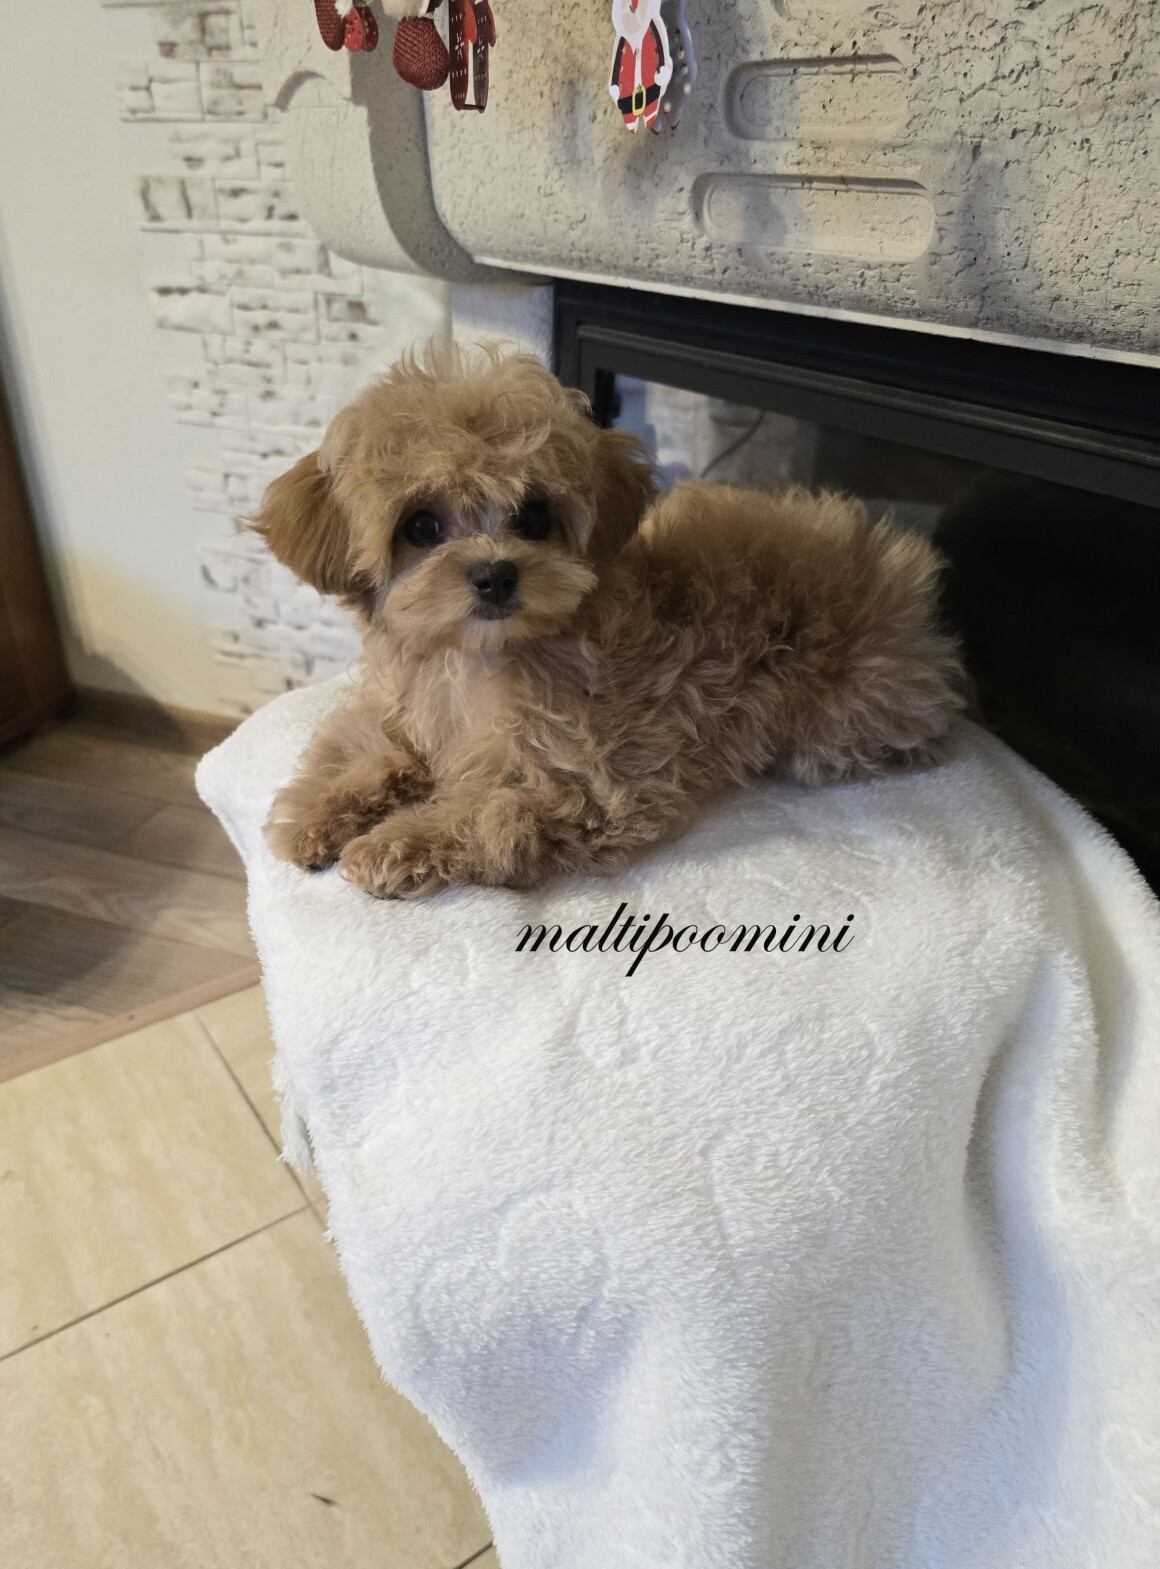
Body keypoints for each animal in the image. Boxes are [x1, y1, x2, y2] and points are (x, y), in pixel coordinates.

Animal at [252, 348, 965, 899]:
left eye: (534, 517)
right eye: (420, 527)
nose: (495, 574)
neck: (474, 657)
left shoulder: (594, 781)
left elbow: (488, 814)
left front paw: (393, 844)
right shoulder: (407, 710)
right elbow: (369, 747)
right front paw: (317, 813)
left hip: (842, 717)